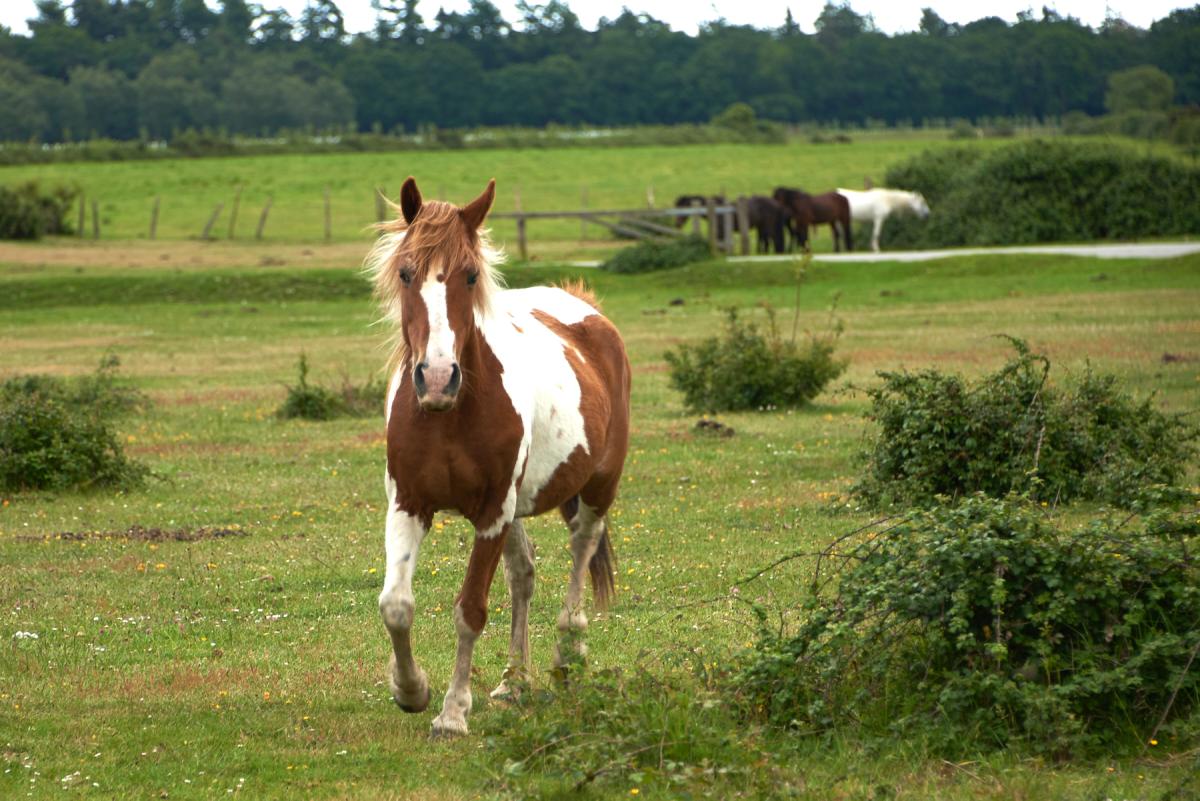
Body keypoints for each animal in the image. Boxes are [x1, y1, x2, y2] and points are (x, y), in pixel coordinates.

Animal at [365, 177, 632, 737]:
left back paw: (567, 655)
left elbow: (470, 609)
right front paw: (411, 689)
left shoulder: (490, 514)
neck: (449, 415)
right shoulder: (408, 503)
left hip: (597, 487)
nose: (437, 377)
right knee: (523, 574)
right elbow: (396, 605)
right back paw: (514, 682)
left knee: (581, 549)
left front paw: (452, 712)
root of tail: (585, 306)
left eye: (470, 275)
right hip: (517, 507)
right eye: (405, 272)